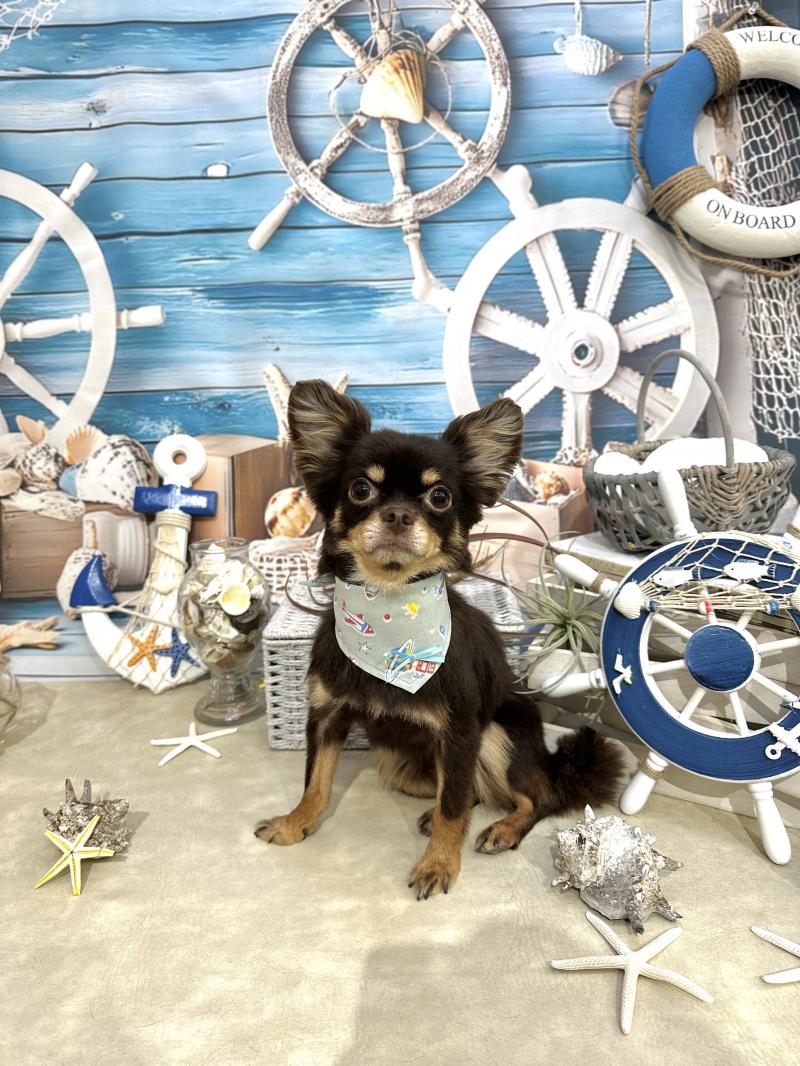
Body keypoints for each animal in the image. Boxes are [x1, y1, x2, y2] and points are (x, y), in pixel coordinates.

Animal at [255, 380, 623, 899]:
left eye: (440, 497)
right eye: (360, 489)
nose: (397, 514)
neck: (390, 617)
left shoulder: (461, 733)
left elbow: (455, 806)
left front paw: (438, 865)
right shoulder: (326, 718)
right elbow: (316, 781)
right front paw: (295, 823)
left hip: (496, 736)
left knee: (536, 796)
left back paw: (503, 829)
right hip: (397, 767)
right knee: (469, 791)